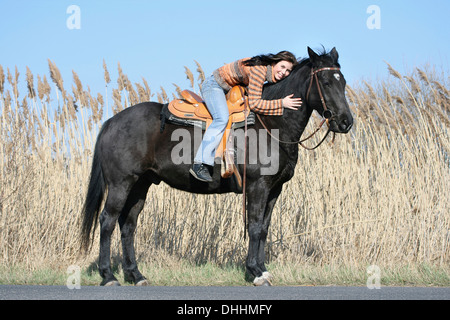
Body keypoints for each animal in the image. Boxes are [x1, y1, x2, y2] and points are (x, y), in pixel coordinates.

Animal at [82, 47, 354, 284]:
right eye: (326, 82)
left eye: (342, 82)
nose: (345, 122)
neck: (270, 124)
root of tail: (112, 121)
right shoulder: (258, 186)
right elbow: (255, 226)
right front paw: (255, 272)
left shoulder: (275, 189)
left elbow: (265, 228)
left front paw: (262, 269)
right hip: (121, 184)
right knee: (107, 221)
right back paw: (108, 276)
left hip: (141, 185)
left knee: (128, 224)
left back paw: (135, 275)